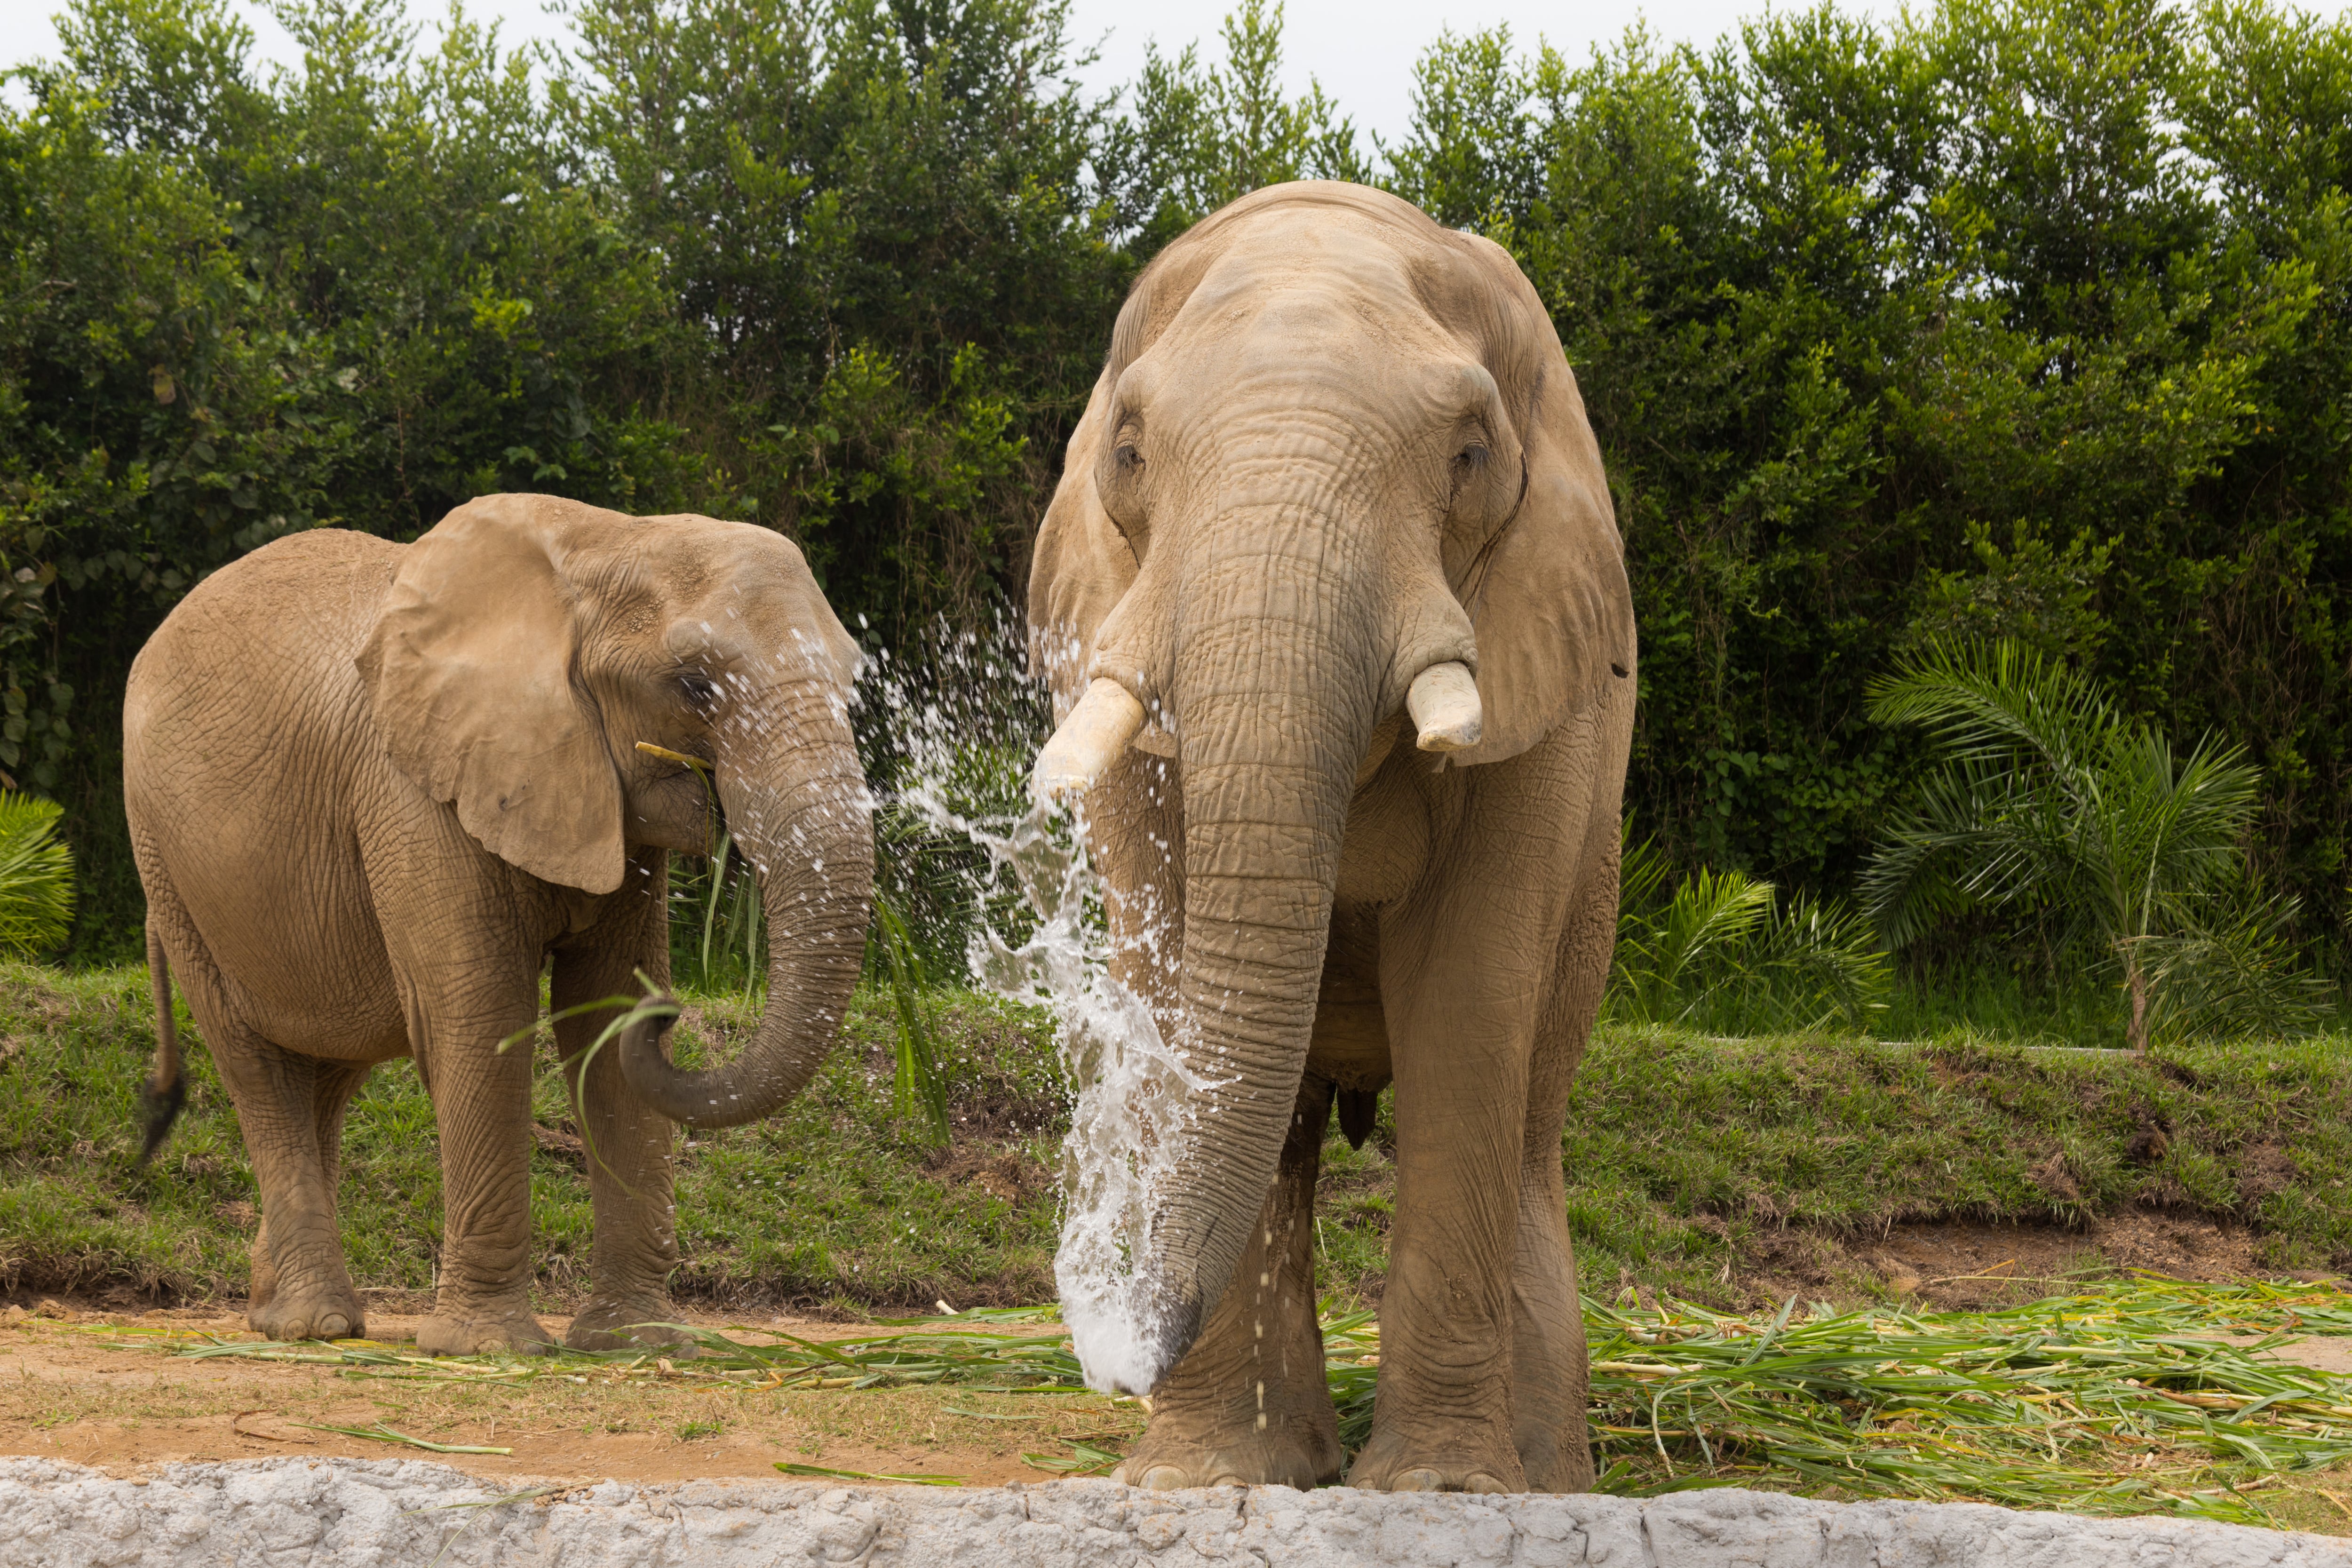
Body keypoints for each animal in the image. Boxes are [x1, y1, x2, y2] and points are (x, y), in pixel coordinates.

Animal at [124, 493, 874, 1355]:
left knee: (329, 1068)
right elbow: (482, 1014)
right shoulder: (415, 790)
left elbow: (601, 1020)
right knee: (257, 1065)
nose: (671, 1012)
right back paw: (315, 1324)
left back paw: (276, 1310)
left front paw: (641, 1340)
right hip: (166, 859)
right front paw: (486, 1347)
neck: (608, 542)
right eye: (693, 684)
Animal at [1026, 182, 1636, 1493]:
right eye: (1129, 451)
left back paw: (1549, 1475)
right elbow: (1175, 986)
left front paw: (1445, 1490)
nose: (1116, 1351)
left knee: (1527, 1128)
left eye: (1470, 453)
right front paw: (1202, 1483)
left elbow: (1468, 1002)